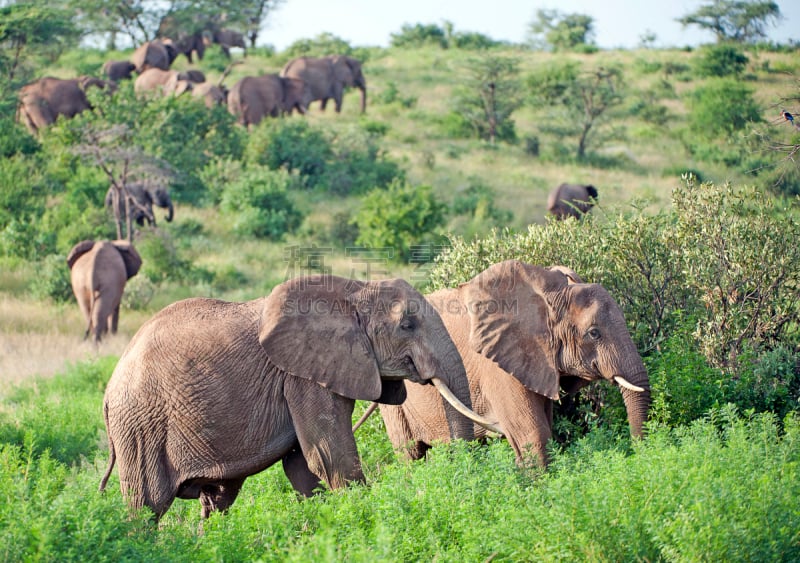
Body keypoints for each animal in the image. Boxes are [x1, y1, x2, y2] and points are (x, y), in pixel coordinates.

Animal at [97, 276, 496, 524]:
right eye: (407, 325)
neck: (353, 291)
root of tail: (107, 391)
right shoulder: (301, 377)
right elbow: (330, 457)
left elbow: (304, 466)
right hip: (141, 427)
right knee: (146, 507)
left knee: (217, 499)